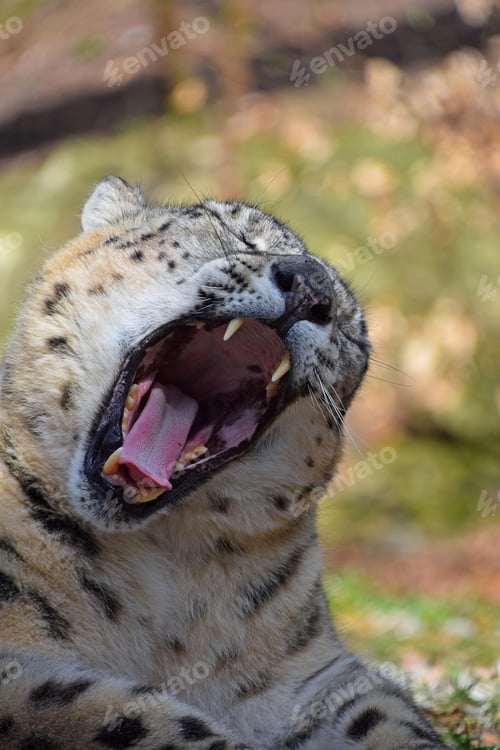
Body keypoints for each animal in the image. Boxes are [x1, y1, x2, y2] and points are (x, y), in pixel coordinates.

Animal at [0, 176, 449, 750]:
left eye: (351, 330)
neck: (160, 565)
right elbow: (129, 718)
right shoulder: (19, 670)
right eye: (236, 232)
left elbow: (389, 718)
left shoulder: (313, 673)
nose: (311, 286)